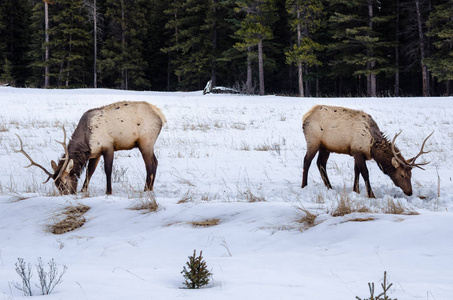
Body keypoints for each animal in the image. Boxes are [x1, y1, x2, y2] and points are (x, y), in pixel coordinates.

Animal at [15, 101, 166, 195]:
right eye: (56, 185)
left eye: (64, 182)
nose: (67, 194)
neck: (87, 141)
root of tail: (161, 116)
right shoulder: (95, 153)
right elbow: (89, 171)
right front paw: (83, 190)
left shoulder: (108, 146)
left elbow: (108, 170)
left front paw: (108, 191)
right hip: (147, 144)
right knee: (156, 162)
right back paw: (150, 188)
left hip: (146, 142)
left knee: (150, 165)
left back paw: (146, 189)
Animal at [300, 104, 430, 198]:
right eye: (402, 175)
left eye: (411, 175)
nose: (410, 192)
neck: (372, 146)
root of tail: (305, 117)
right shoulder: (358, 152)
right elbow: (365, 173)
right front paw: (371, 195)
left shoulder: (356, 152)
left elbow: (356, 171)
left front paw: (356, 190)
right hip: (313, 141)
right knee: (307, 161)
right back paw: (304, 186)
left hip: (325, 146)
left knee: (321, 163)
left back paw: (329, 187)